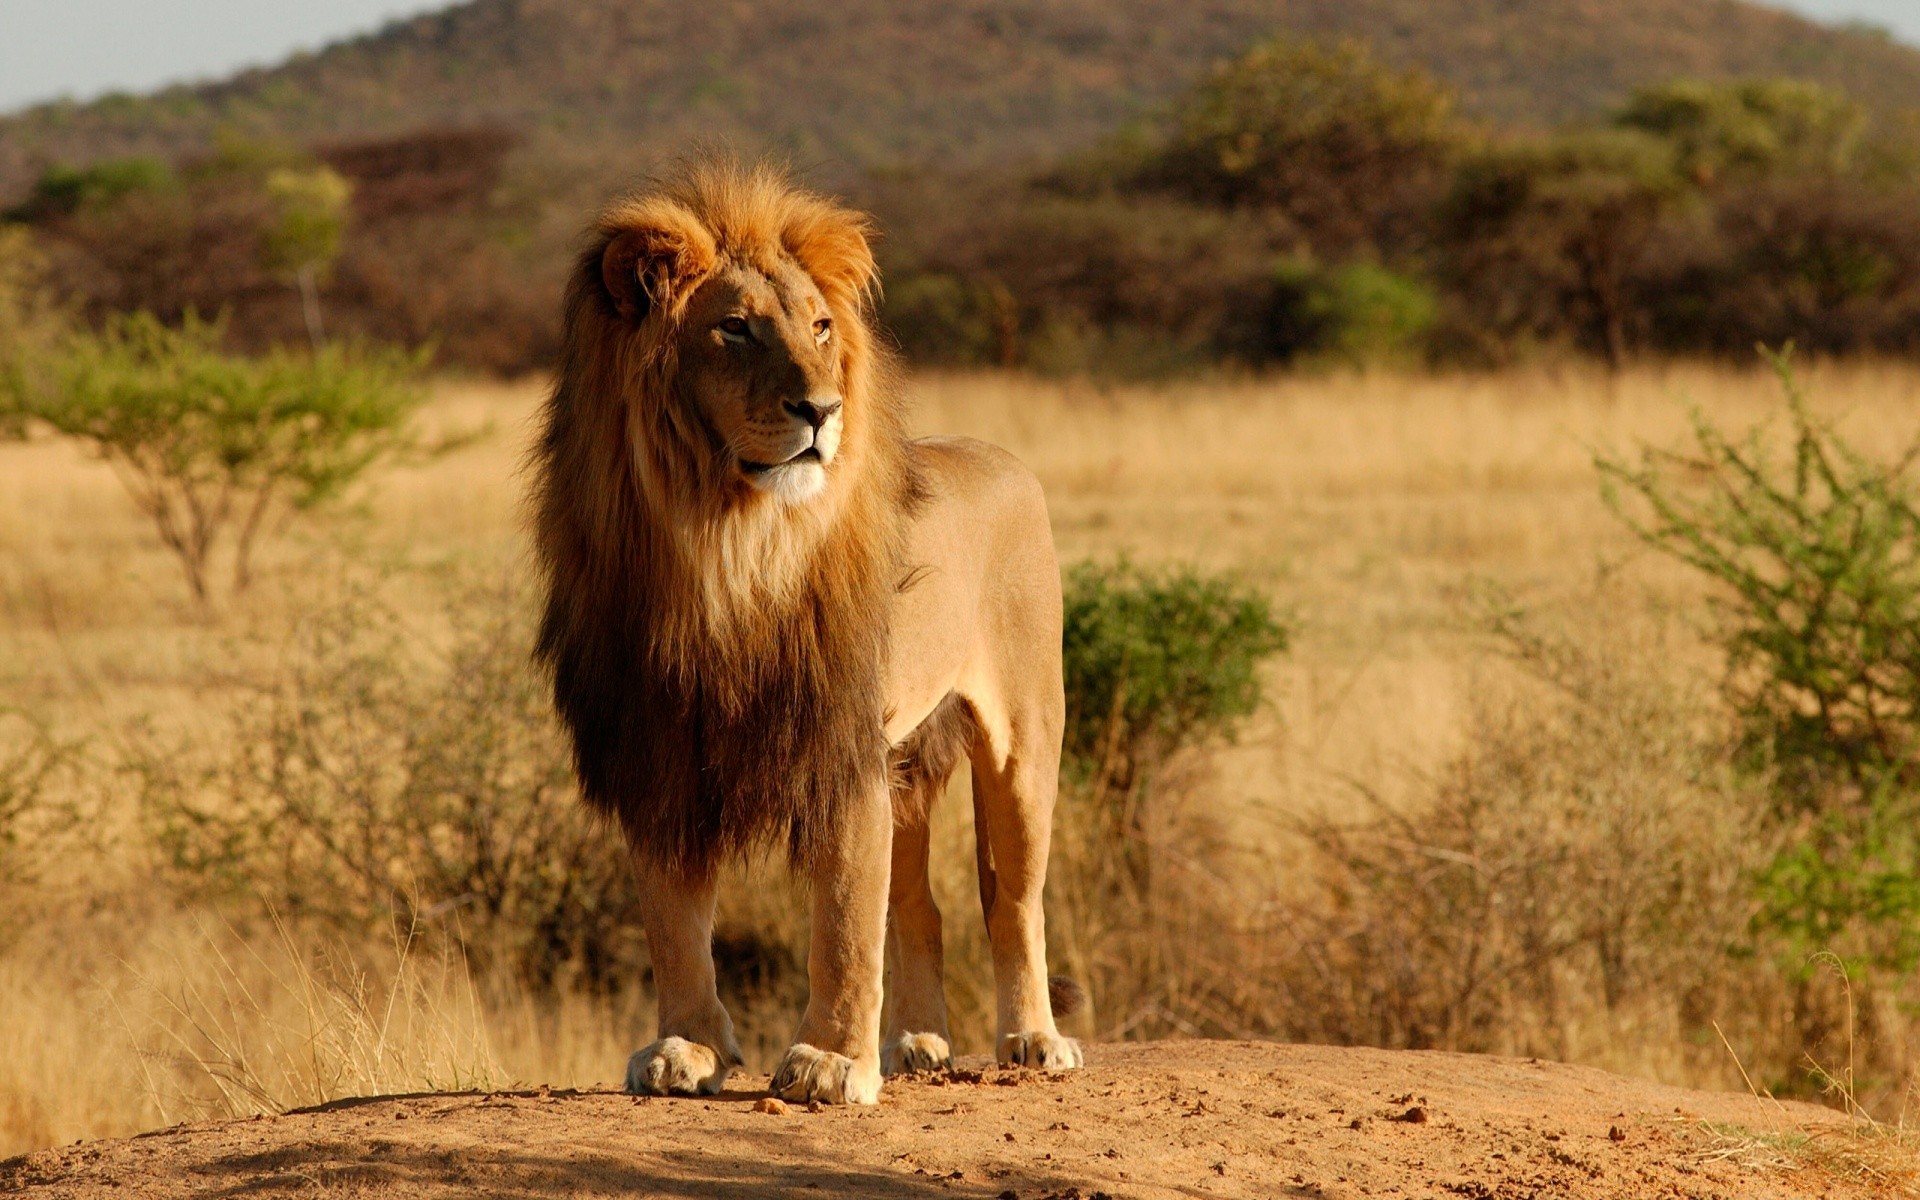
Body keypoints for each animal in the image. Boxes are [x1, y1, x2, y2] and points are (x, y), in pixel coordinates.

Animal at [533, 159, 1090, 1105]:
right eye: (734, 330)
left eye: (821, 327)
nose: (822, 410)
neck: (724, 547)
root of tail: (1002, 457)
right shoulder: (660, 748)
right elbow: (673, 920)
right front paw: (687, 1048)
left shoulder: (839, 746)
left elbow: (842, 919)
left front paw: (830, 1061)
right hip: (907, 763)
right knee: (921, 907)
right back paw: (916, 1043)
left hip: (1021, 741)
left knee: (1011, 900)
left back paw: (1034, 1039)